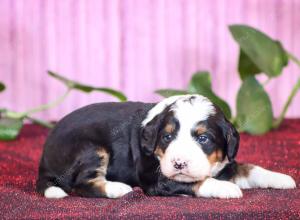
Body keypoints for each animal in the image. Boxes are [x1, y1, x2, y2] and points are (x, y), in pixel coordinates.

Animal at [35, 95, 296, 199]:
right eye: (167, 137)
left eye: (203, 139)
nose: (179, 163)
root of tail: (43, 161)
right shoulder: (157, 178)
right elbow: (195, 182)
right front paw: (225, 188)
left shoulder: (225, 165)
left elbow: (251, 169)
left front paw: (282, 178)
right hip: (90, 148)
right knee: (83, 183)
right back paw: (118, 189)